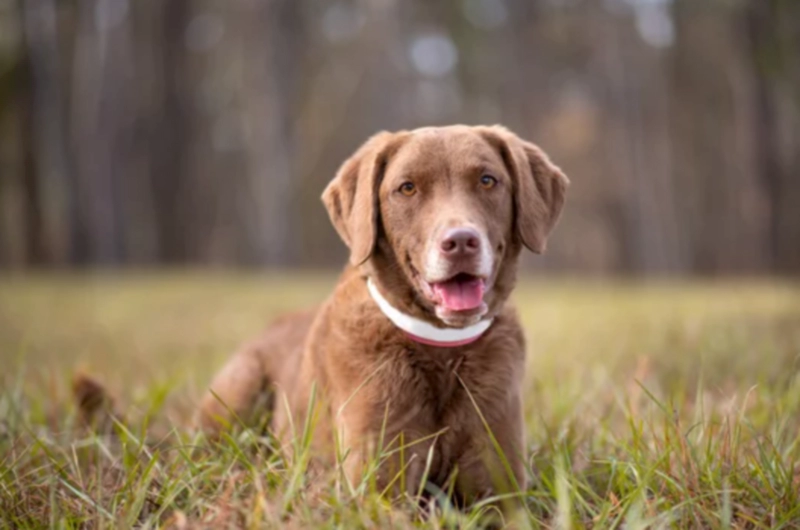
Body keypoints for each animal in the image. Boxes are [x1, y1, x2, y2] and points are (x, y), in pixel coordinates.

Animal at [197, 122, 564, 504]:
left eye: (488, 180)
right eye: (407, 188)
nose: (461, 242)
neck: (442, 351)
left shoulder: (498, 486)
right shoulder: (377, 485)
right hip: (238, 391)